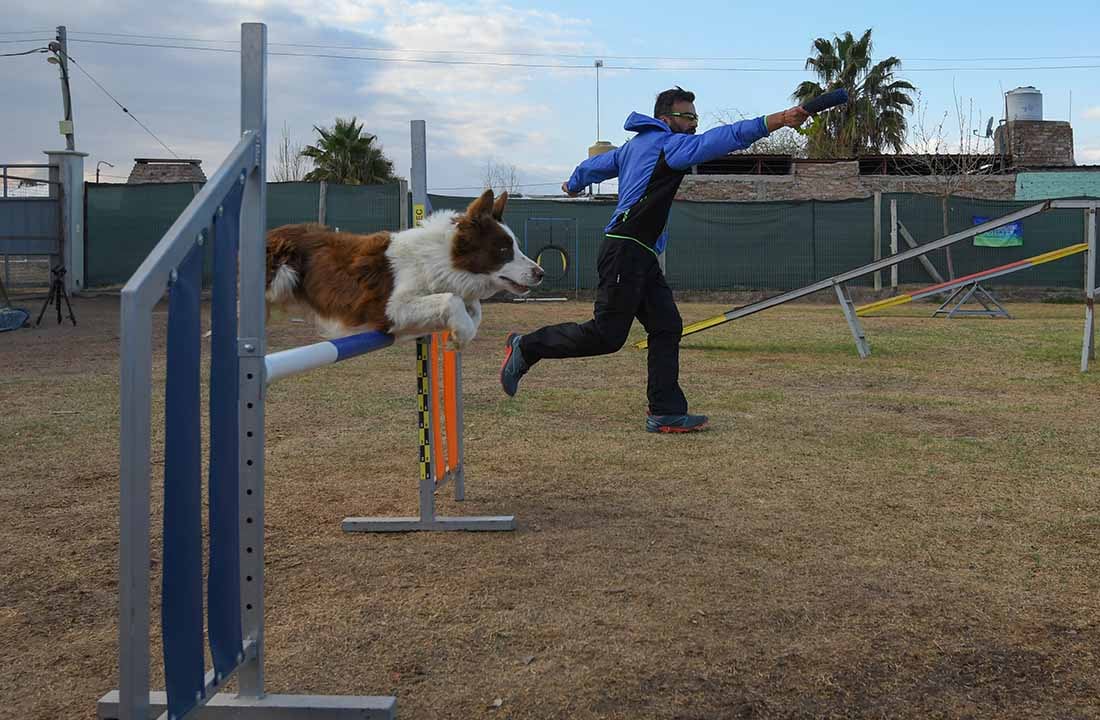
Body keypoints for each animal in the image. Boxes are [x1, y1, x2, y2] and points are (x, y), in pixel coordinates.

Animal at [266, 190, 541, 351]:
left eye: (515, 245)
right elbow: (452, 300)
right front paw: (462, 332)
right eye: (504, 250)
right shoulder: (389, 308)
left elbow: (475, 310)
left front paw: (463, 330)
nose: (541, 273)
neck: (438, 260)